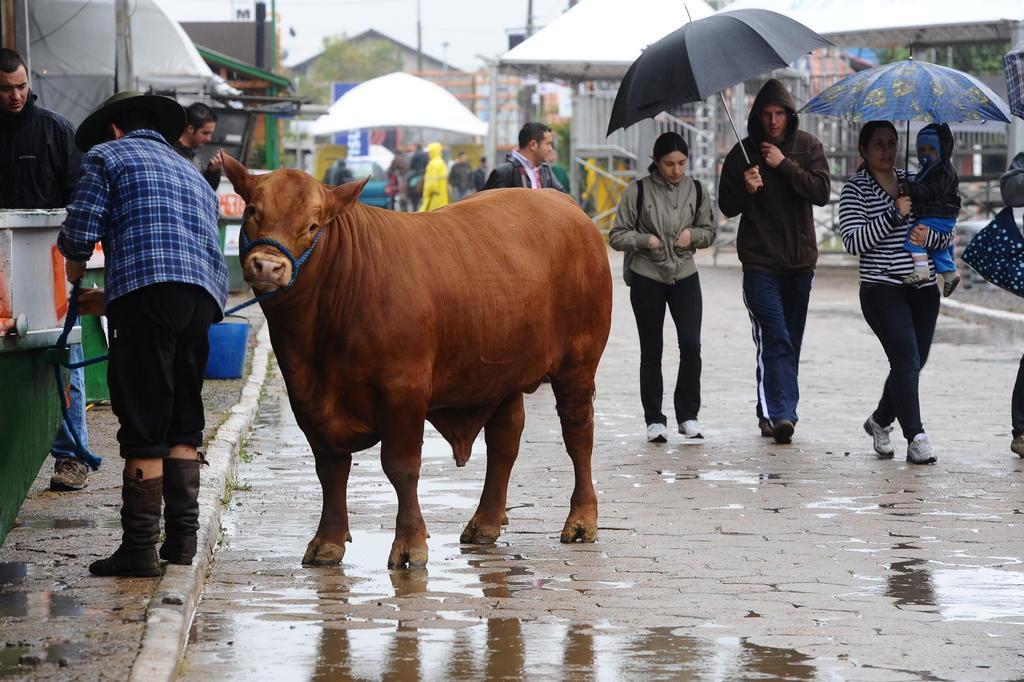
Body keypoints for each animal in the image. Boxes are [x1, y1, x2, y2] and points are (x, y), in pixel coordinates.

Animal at [222, 155, 606, 569]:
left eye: (313, 225)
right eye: (252, 211)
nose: (267, 266)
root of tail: (565, 205)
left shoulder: (402, 390)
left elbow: (401, 467)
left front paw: (409, 544)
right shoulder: (306, 397)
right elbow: (330, 469)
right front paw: (327, 542)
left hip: (578, 363)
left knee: (578, 435)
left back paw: (581, 520)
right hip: (501, 373)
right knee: (504, 440)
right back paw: (485, 522)